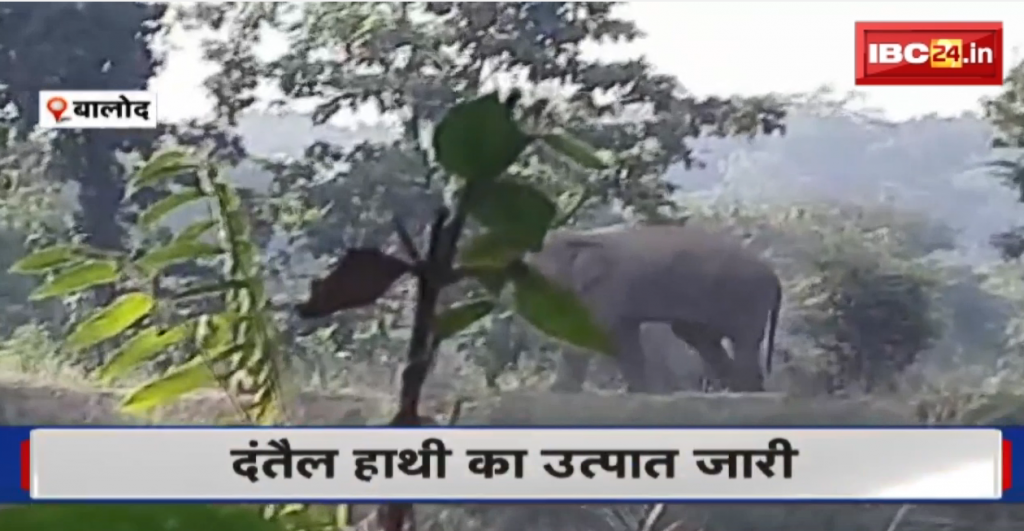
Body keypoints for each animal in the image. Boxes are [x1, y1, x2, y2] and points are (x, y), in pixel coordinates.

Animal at [525, 224, 782, 393]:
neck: (582, 236)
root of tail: (773, 275)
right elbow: (625, 337)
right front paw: (640, 392)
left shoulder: (607, 288)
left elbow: (594, 333)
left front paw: (557, 393)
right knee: (698, 336)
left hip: (746, 295)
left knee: (743, 340)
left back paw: (748, 392)